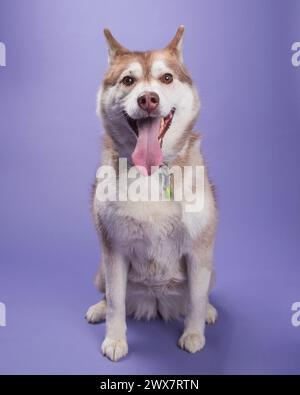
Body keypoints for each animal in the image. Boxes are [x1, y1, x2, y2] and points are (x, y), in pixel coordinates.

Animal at [85, 26, 217, 364]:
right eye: (128, 81)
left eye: (166, 78)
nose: (148, 99)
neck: (150, 172)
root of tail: (155, 301)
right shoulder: (113, 249)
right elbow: (116, 301)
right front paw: (115, 339)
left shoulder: (198, 250)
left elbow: (196, 300)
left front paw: (194, 334)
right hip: (100, 270)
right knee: (108, 293)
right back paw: (97, 309)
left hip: (211, 269)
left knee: (202, 295)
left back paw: (210, 312)